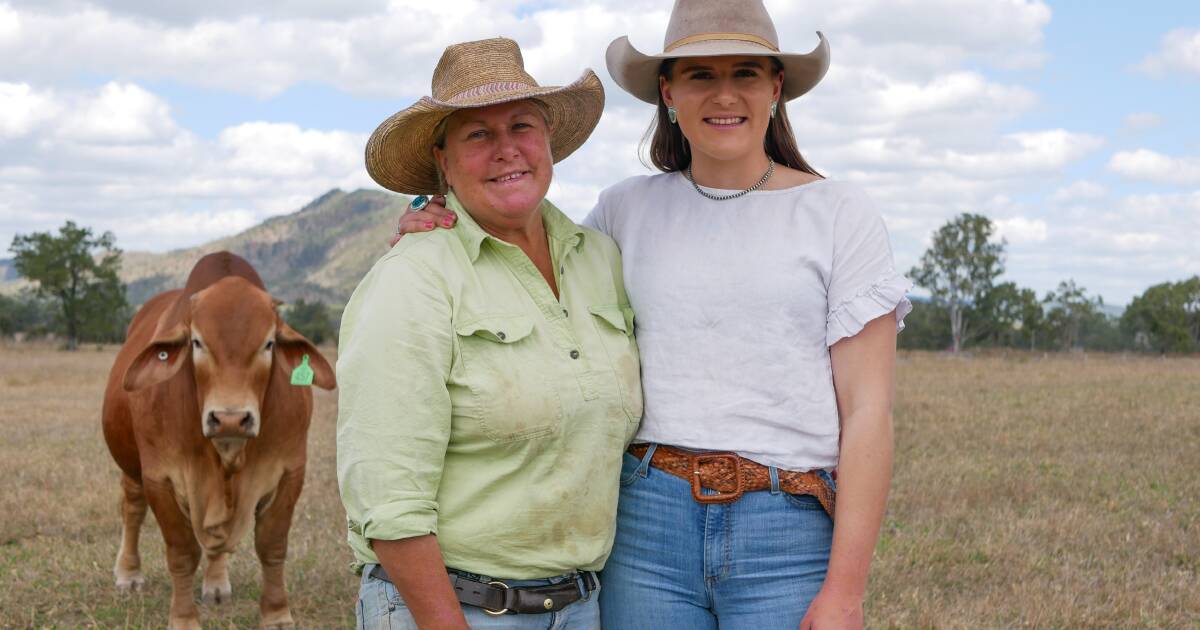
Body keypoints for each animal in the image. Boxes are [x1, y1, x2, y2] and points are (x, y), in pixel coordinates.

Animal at [103, 252, 336, 628]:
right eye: (197, 342)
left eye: (269, 343)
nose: (230, 418)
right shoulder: (160, 477)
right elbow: (182, 553)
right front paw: (184, 619)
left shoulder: (290, 471)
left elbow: (272, 546)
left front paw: (276, 613)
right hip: (131, 465)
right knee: (132, 508)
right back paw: (129, 573)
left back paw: (215, 585)